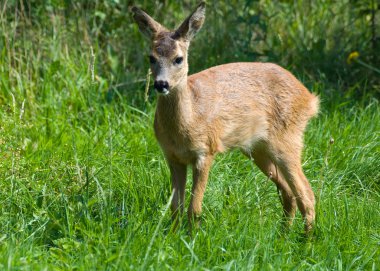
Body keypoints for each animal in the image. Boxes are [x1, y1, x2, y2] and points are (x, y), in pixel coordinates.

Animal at [132, 1, 320, 234]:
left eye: (178, 59)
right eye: (151, 57)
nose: (161, 84)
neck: (188, 120)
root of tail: (309, 98)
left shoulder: (206, 150)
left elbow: (194, 208)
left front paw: (192, 237)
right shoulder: (172, 156)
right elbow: (176, 207)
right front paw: (173, 237)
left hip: (288, 139)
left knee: (307, 192)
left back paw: (306, 239)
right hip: (258, 149)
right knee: (288, 192)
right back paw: (284, 234)